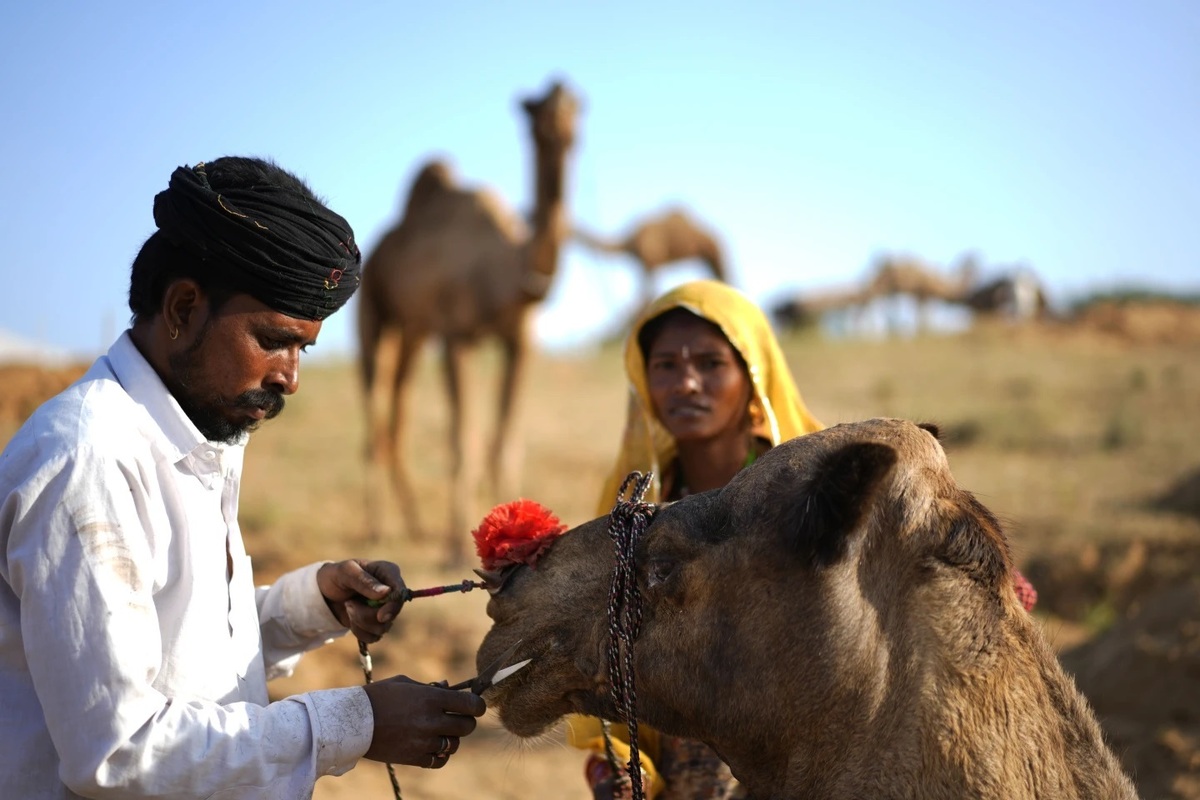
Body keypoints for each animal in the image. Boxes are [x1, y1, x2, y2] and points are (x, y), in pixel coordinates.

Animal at [355, 77, 580, 561]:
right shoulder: (457, 336)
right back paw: (375, 529)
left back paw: (415, 526)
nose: (560, 124)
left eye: (577, 104)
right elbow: (463, 441)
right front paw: (456, 545)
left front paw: (522, 535)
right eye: (535, 110)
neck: (507, 270)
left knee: (398, 409)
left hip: (415, 331)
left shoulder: (520, 343)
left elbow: (506, 441)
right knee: (375, 408)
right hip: (372, 309)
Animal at [573, 208, 729, 311]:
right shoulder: (645, 264)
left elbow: (647, 293)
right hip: (706, 255)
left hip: (715, 251)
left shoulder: (650, 261)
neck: (630, 242)